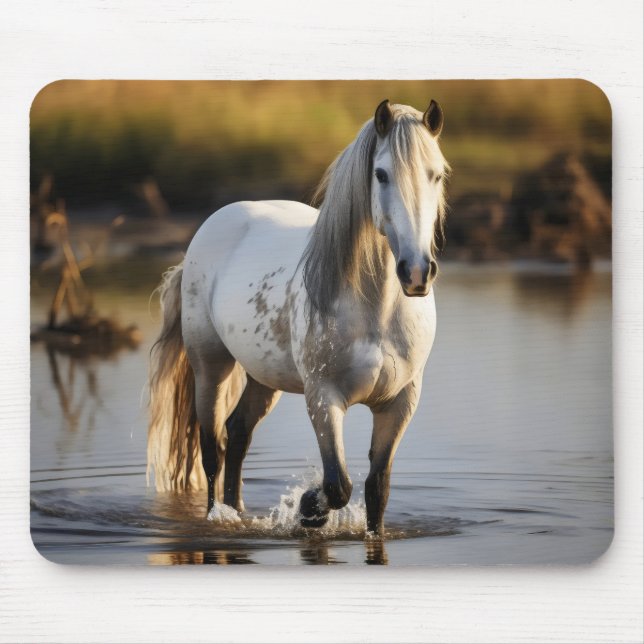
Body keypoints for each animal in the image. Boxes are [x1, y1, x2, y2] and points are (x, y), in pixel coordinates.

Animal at [147, 98, 449, 536]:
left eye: (436, 174)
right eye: (381, 174)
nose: (416, 272)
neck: (375, 313)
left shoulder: (400, 402)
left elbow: (377, 490)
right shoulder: (324, 398)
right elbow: (338, 484)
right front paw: (309, 508)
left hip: (262, 376)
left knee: (238, 435)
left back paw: (238, 509)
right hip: (211, 366)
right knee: (212, 447)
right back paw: (218, 516)